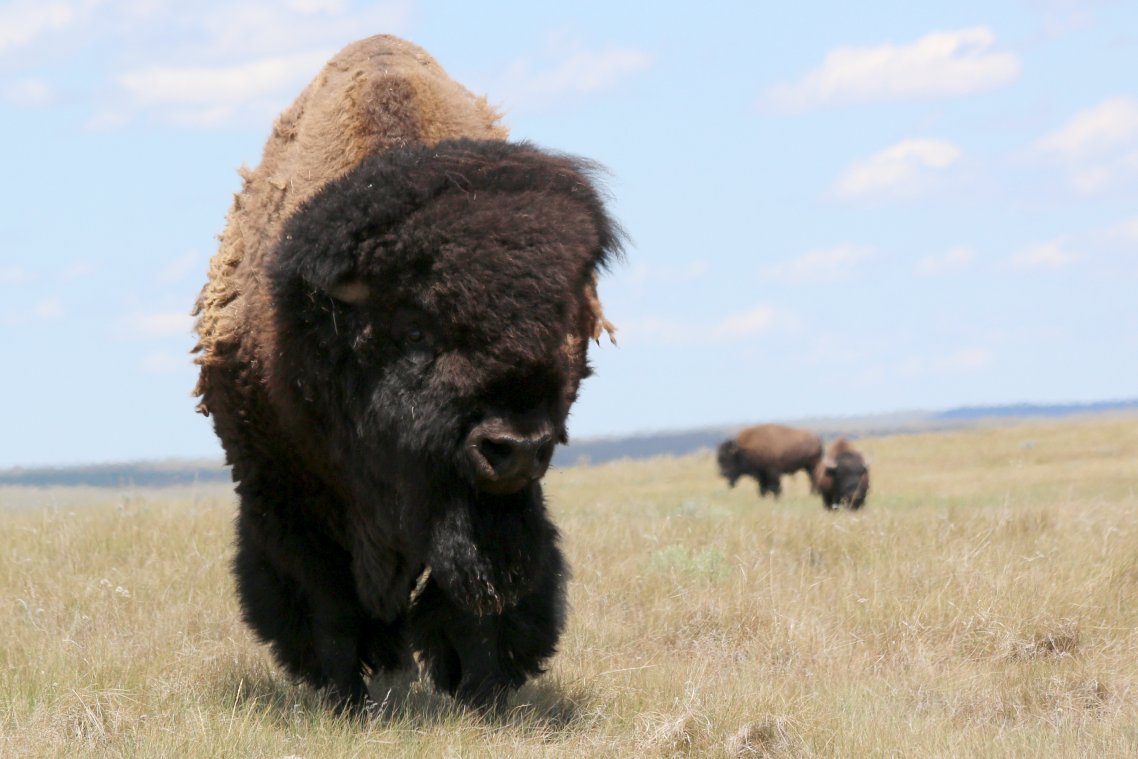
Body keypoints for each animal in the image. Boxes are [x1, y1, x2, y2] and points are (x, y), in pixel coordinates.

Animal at [193, 35, 623, 714]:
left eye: (561, 325)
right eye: (416, 331)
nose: (515, 446)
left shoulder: (490, 506)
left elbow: (477, 602)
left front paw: (483, 697)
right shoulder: (286, 494)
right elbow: (332, 607)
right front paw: (343, 702)